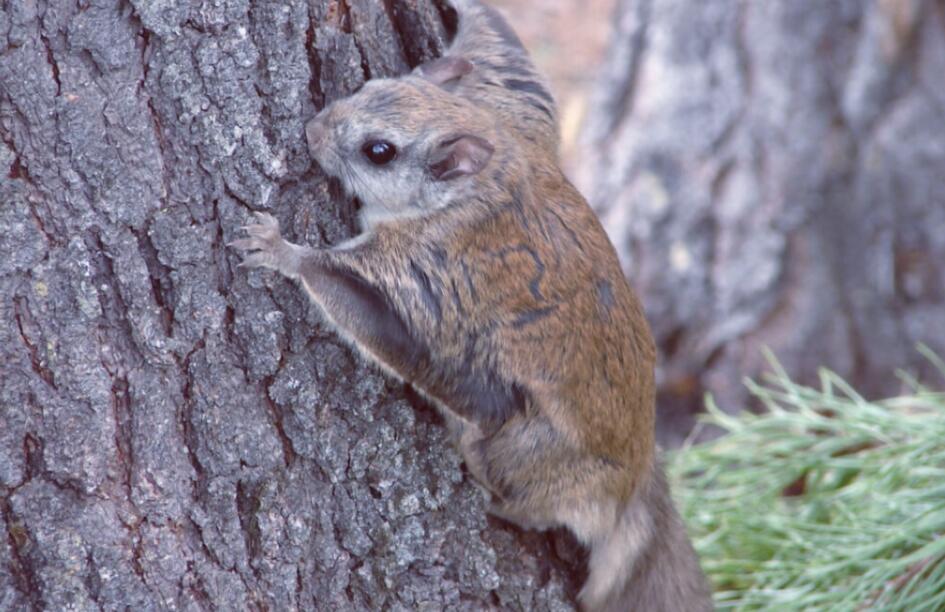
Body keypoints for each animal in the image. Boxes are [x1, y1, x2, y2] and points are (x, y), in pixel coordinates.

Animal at [234, 2, 708, 608]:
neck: (482, 181)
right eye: (368, 84)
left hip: (524, 449)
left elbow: (368, 311)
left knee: (530, 500)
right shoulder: (519, 113)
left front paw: (282, 252)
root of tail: (634, 483)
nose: (313, 131)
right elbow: (508, 55)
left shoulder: (427, 270)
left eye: (378, 151)